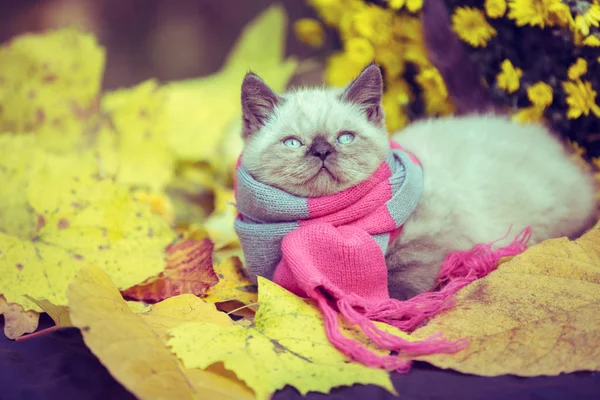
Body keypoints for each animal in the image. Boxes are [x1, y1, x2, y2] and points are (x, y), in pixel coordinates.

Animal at [238, 6, 596, 300]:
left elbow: (402, 276)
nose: (323, 151)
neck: (329, 224)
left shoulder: (435, 232)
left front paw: (388, 306)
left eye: (345, 138)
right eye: (293, 143)